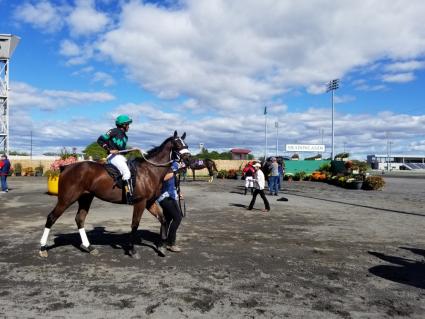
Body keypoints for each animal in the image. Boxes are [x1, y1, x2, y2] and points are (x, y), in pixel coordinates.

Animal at [39, 131, 189, 258]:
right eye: (177, 144)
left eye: (186, 144)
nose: (189, 159)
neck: (150, 170)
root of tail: (66, 167)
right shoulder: (140, 202)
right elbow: (135, 224)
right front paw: (132, 250)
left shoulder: (149, 202)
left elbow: (163, 219)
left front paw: (161, 247)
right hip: (67, 198)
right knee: (51, 217)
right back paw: (43, 248)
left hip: (85, 198)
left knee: (79, 219)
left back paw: (90, 247)